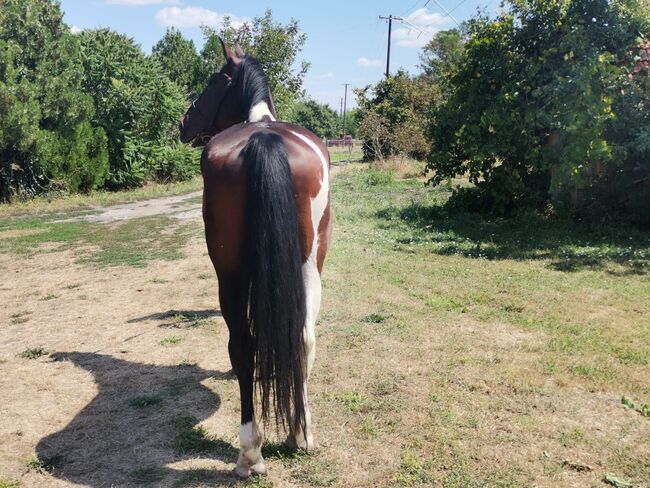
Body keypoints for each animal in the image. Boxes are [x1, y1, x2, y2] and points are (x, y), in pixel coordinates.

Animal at [177, 37, 330, 476]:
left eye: (214, 81)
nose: (183, 124)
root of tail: (263, 140)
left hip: (229, 273)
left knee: (244, 347)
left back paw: (250, 453)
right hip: (308, 264)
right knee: (301, 337)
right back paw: (299, 435)